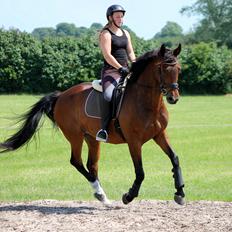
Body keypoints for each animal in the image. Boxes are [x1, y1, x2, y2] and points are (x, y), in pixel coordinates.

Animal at [0, 44, 185, 206]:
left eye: (178, 69)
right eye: (162, 69)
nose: (173, 98)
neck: (147, 102)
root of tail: (61, 95)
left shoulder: (159, 134)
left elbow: (175, 158)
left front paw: (180, 193)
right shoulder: (134, 141)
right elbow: (140, 172)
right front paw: (128, 196)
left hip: (91, 138)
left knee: (92, 165)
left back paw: (102, 197)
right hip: (75, 136)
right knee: (77, 162)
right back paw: (101, 193)